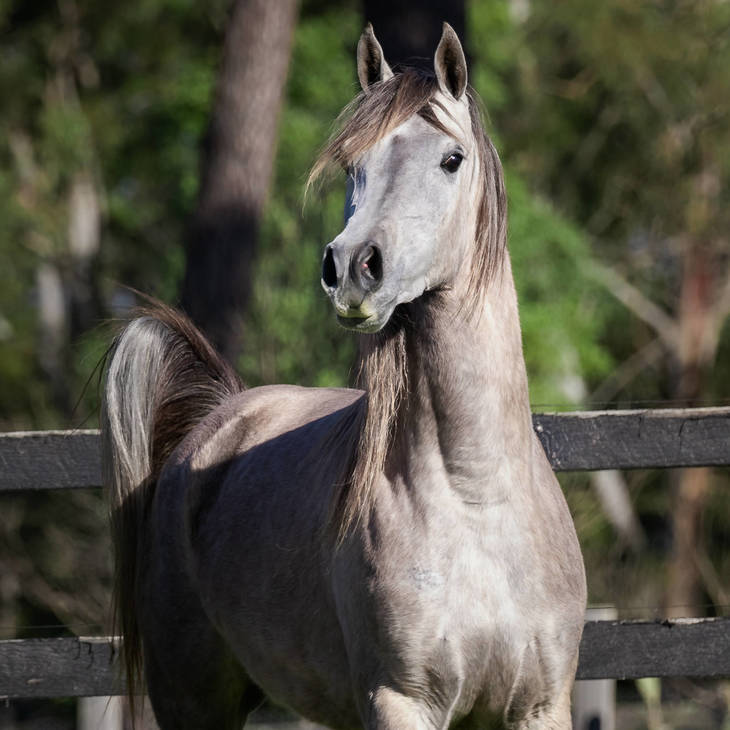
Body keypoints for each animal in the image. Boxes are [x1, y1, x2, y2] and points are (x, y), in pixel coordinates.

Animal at [101, 23, 586, 730]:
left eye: (452, 159)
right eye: (354, 164)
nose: (354, 266)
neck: (476, 499)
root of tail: (218, 416)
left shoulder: (539, 707)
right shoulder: (399, 701)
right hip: (193, 699)